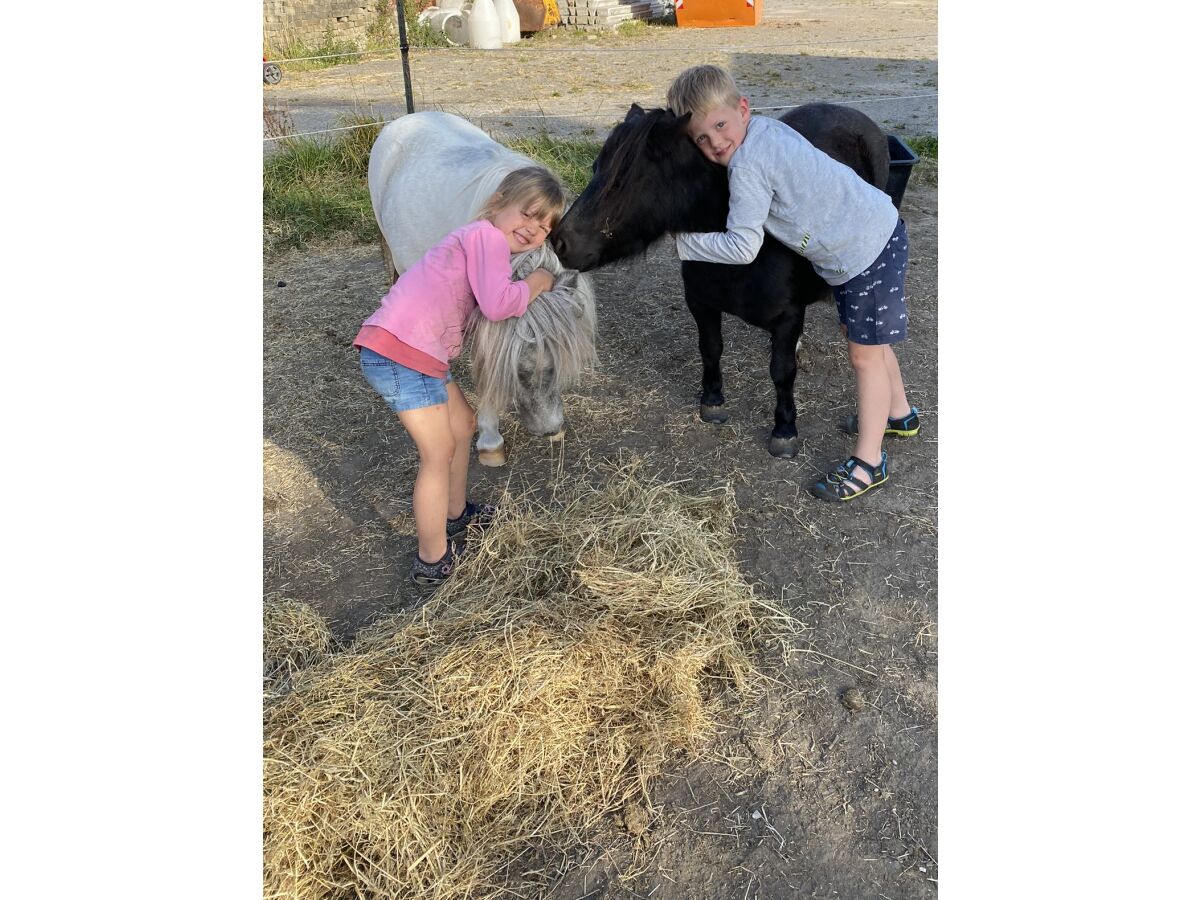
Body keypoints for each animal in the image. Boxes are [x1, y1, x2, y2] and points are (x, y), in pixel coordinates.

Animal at [552, 103, 892, 460]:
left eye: (621, 181)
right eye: (596, 168)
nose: (559, 241)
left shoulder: (787, 317)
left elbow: (781, 371)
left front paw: (784, 429)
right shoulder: (701, 304)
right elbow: (711, 348)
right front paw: (713, 400)